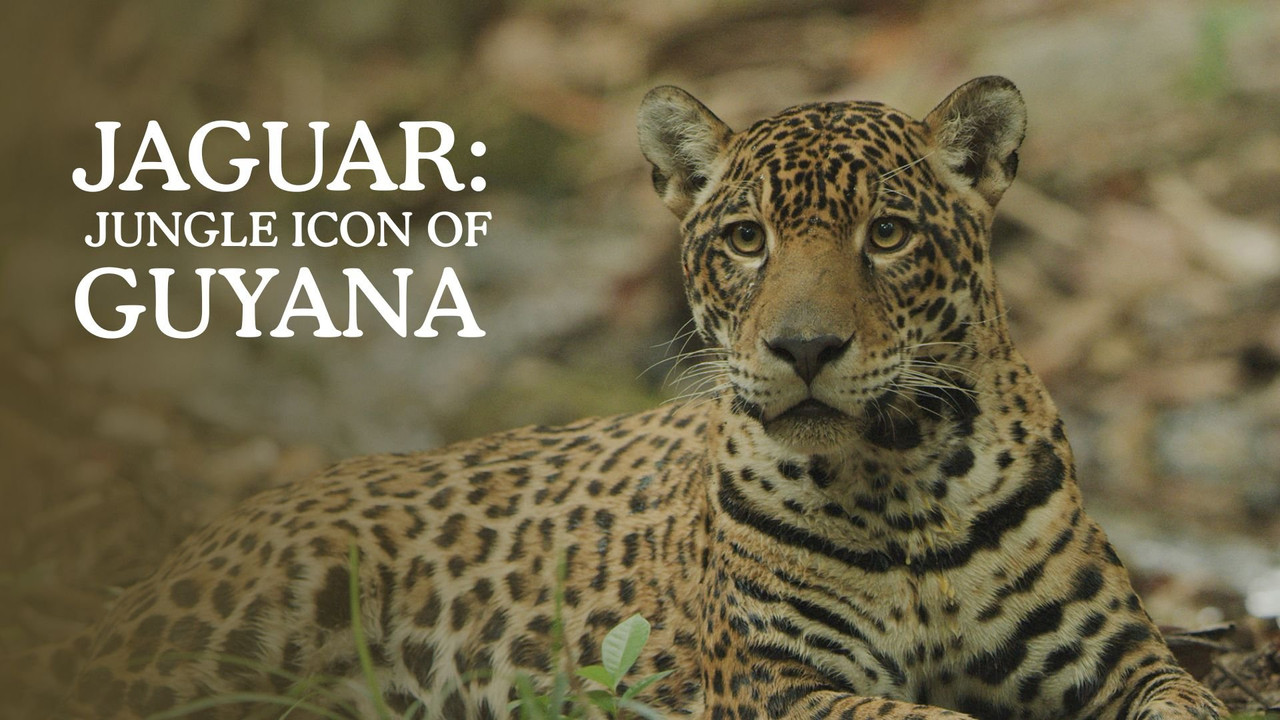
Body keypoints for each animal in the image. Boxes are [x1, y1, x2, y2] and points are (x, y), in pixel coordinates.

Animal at [27, 76, 1225, 720]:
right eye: (745, 239)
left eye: (885, 234)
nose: (802, 347)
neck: (901, 475)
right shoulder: (779, 684)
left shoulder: (1121, 658)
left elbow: (1189, 700)